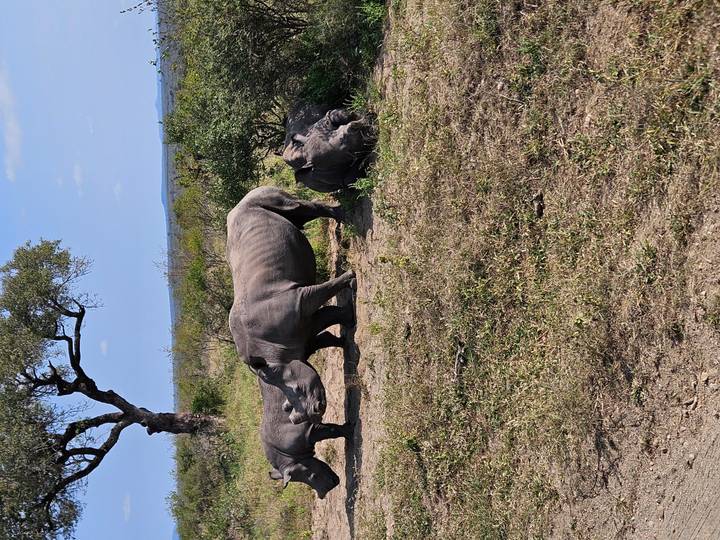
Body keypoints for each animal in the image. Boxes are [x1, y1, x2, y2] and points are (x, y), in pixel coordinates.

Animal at [227, 186, 355, 424]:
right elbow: (329, 319)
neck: (275, 356)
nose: (313, 413)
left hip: (260, 197)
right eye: (288, 407)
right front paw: (347, 331)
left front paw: (352, 278)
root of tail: (241, 200)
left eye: (297, 390)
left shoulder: (299, 299)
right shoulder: (301, 332)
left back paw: (342, 216)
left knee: (296, 208)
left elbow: (325, 292)